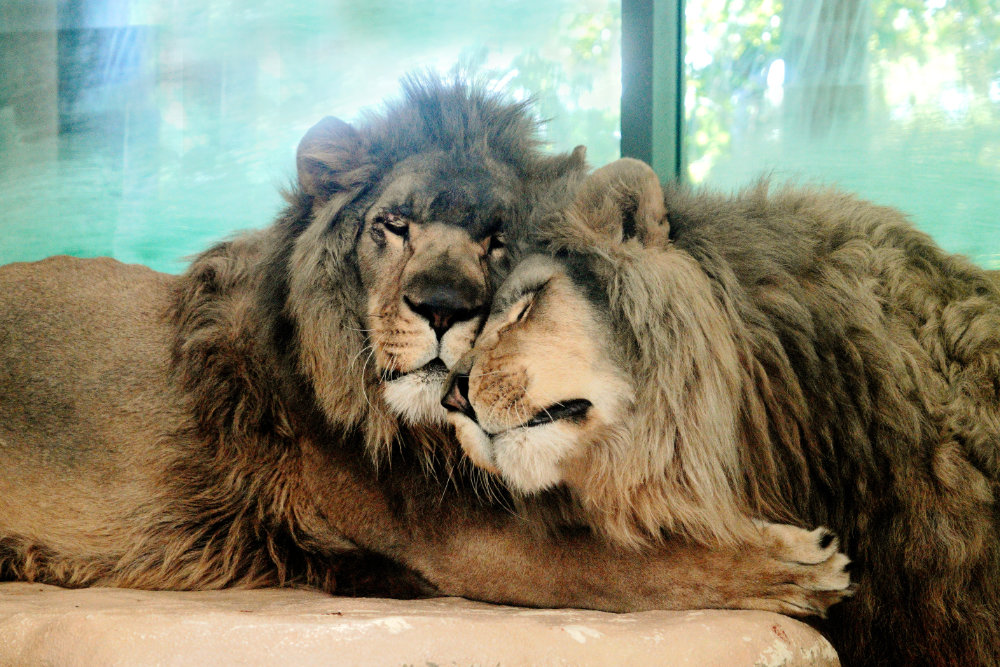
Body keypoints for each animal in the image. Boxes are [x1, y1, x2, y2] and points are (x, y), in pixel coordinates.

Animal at [0, 77, 850, 617]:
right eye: (395, 224)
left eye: (496, 238)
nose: (444, 307)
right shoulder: (454, 540)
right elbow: (622, 564)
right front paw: (794, 560)